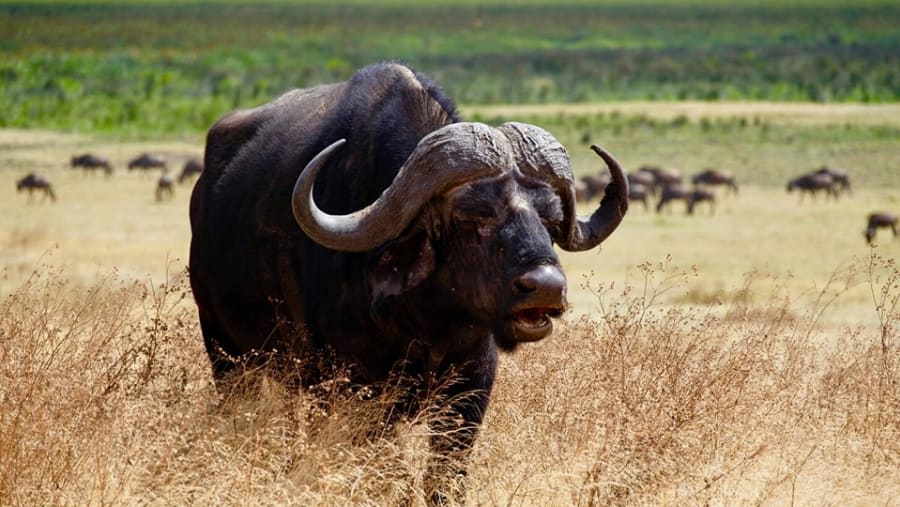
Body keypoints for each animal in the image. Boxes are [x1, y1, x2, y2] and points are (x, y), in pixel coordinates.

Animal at [189, 62, 628, 503]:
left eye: (551, 220)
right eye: (472, 217)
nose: (546, 287)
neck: (425, 321)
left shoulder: (471, 388)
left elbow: (445, 474)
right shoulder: (355, 390)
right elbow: (392, 473)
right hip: (227, 353)